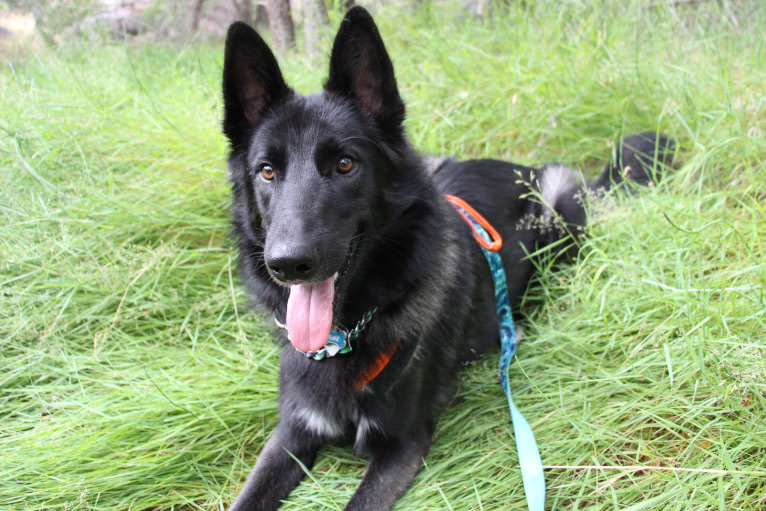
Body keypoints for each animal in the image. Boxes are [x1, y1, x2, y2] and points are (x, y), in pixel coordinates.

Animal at [220, 6, 672, 510]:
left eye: (345, 164)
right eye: (266, 171)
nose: (288, 263)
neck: (348, 334)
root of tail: (524, 167)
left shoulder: (402, 445)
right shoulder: (291, 433)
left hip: (556, 205)